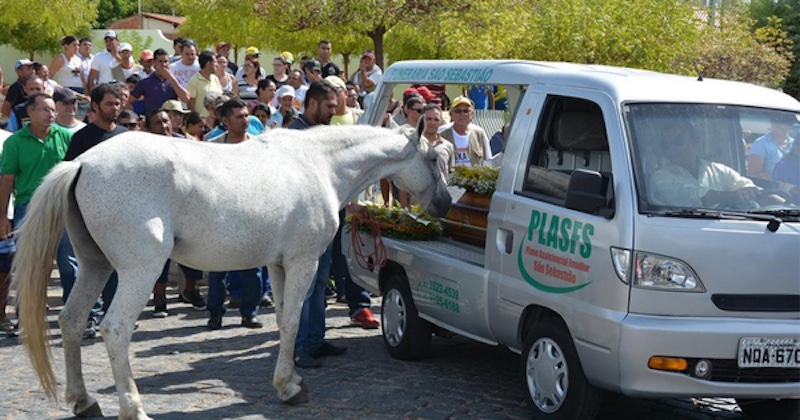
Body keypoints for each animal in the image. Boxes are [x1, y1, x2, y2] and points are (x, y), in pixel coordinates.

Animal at [14, 124, 450, 420]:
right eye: (433, 158)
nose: (445, 203)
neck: (318, 165)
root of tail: (82, 163)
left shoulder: (277, 264)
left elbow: (282, 321)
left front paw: (289, 380)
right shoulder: (303, 261)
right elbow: (294, 322)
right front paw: (289, 389)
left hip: (95, 266)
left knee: (72, 322)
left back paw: (84, 401)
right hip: (139, 272)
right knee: (115, 329)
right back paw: (132, 407)